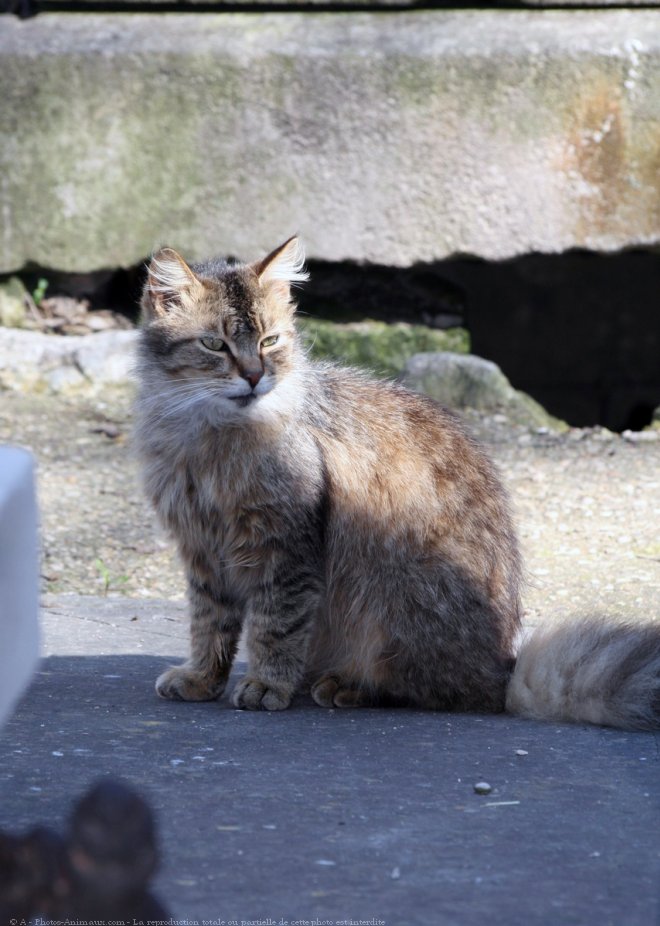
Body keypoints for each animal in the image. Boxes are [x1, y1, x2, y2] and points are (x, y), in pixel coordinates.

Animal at [134, 236, 660, 728]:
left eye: (269, 341)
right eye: (214, 345)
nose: (254, 376)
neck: (208, 439)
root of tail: (503, 673)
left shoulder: (284, 549)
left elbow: (274, 627)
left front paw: (267, 684)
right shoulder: (202, 550)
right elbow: (209, 625)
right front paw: (202, 678)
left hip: (393, 602)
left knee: (430, 689)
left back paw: (344, 686)